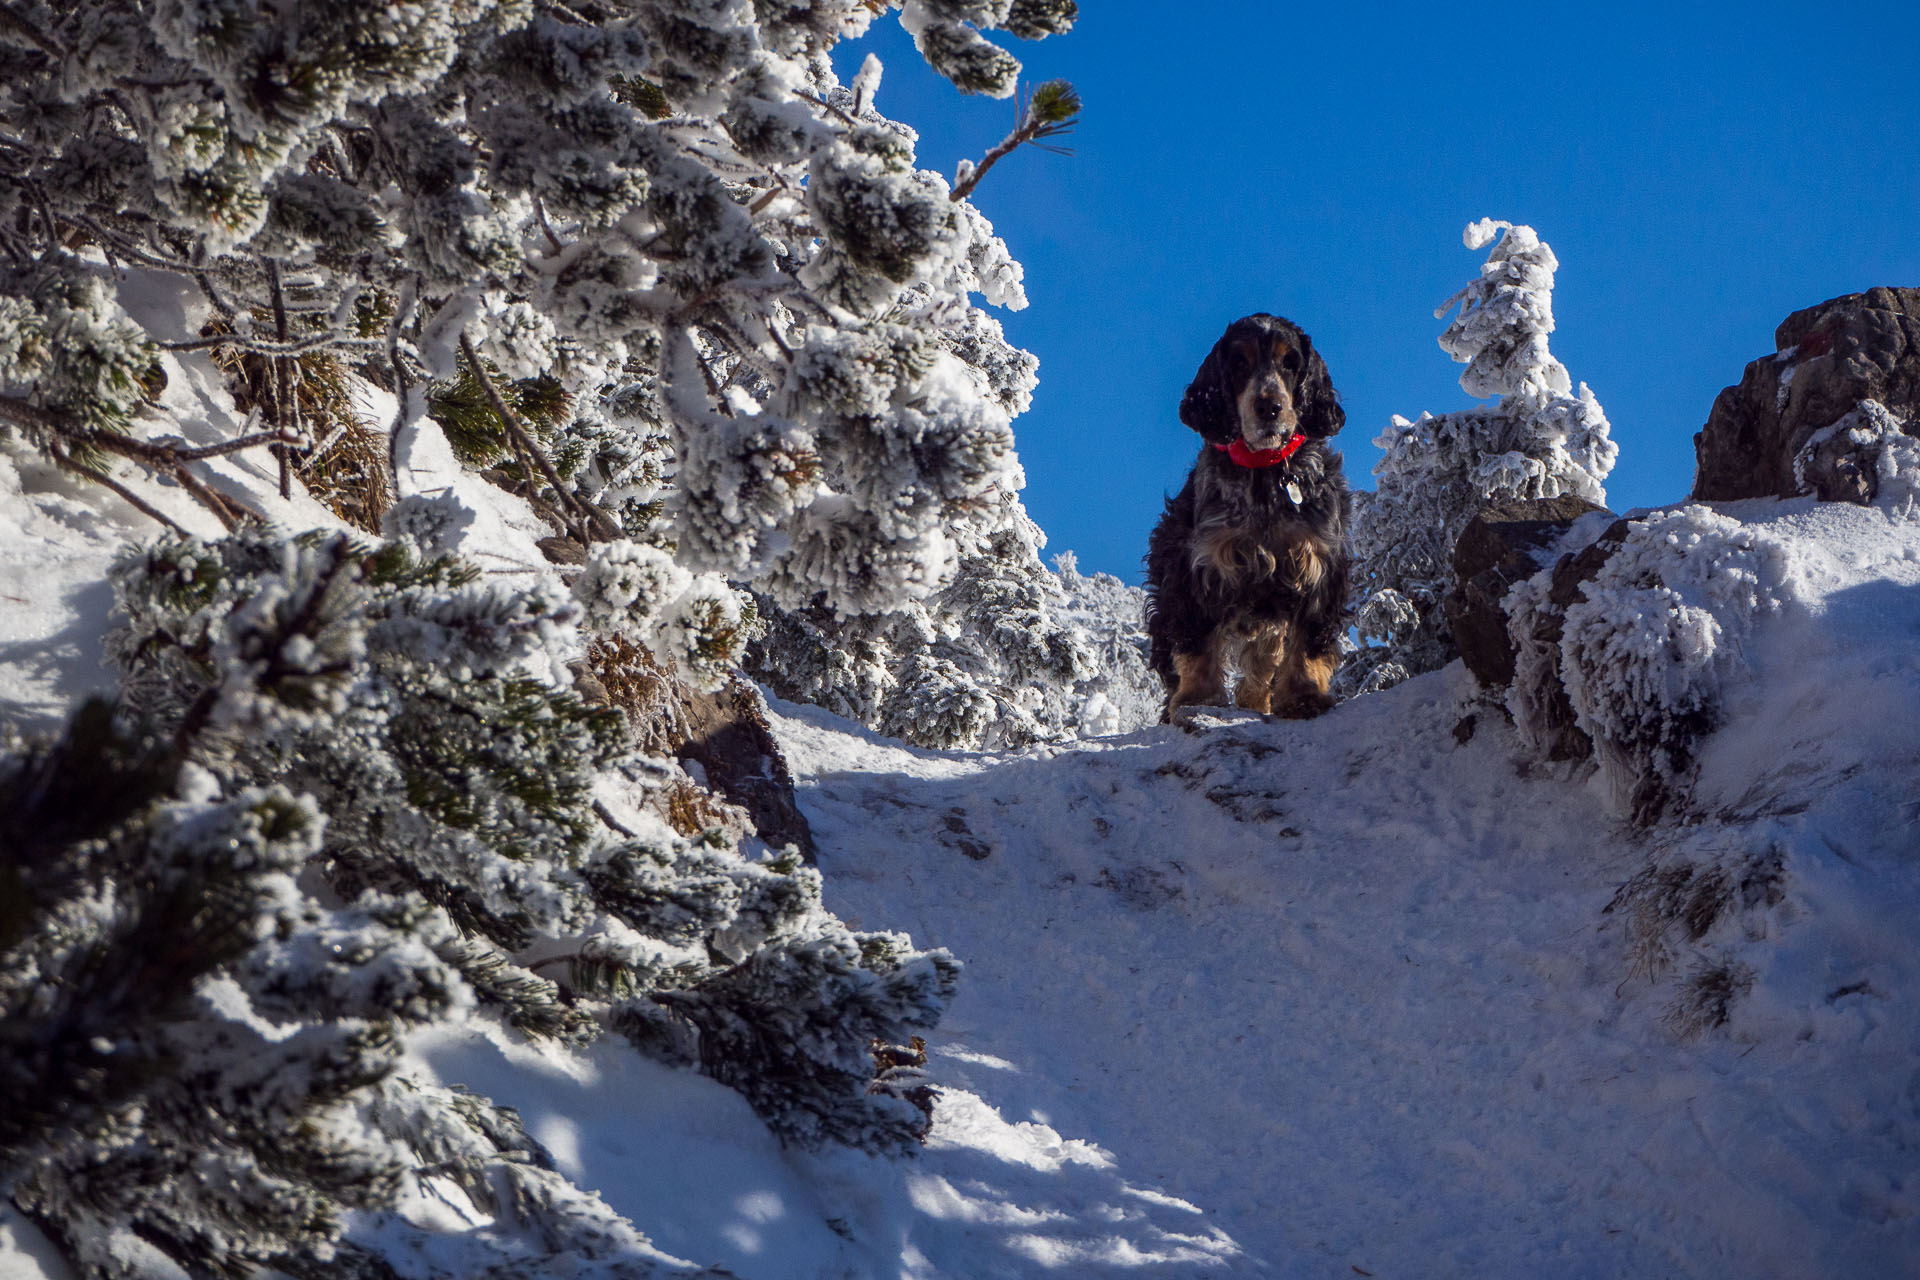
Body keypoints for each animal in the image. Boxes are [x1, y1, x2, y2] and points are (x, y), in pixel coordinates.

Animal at [1136, 310, 1351, 721]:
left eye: (1290, 363)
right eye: (1239, 364)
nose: (1268, 406)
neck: (1265, 473)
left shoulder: (1317, 563)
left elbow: (1308, 643)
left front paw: (1304, 696)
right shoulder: (1198, 568)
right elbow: (1197, 643)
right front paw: (1199, 699)